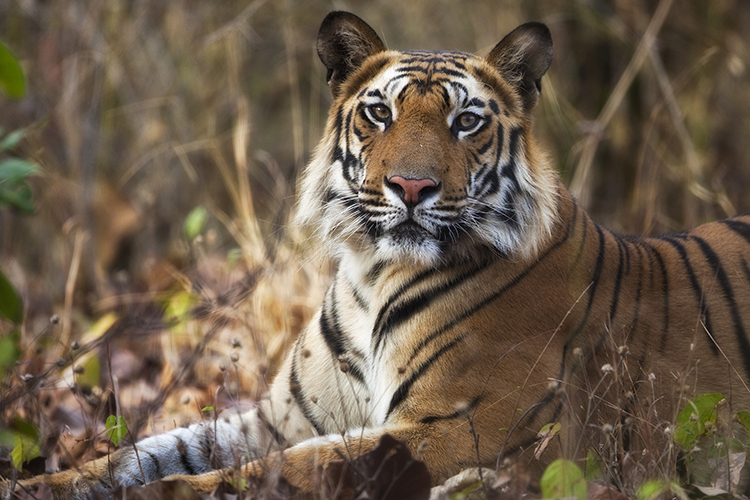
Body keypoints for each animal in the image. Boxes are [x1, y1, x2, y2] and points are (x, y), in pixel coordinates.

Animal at [5, 9, 750, 498]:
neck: (373, 274)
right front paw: (46, 484)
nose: (412, 187)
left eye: (466, 121)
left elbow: (288, 470)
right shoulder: (279, 419)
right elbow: (153, 450)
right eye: (380, 113)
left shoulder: (461, 428)